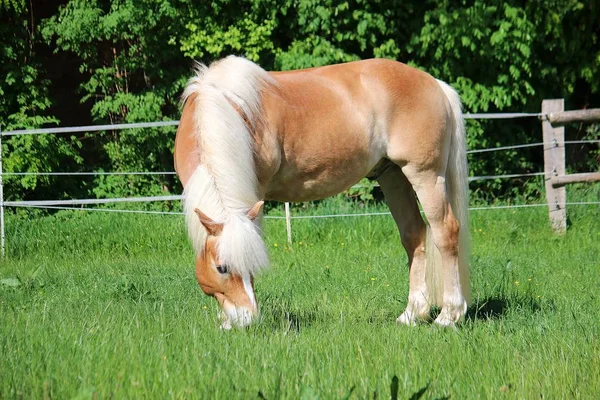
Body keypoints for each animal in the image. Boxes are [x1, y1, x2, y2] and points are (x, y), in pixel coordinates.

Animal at [173, 57, 468, 332]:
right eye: (221, 268)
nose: (246, 320)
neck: (225, 112)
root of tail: (434, 84)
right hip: (393, 176)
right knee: (414, 235)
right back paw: (411, 315)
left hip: (425, 175)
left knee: (446, 233)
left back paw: (448, 316)